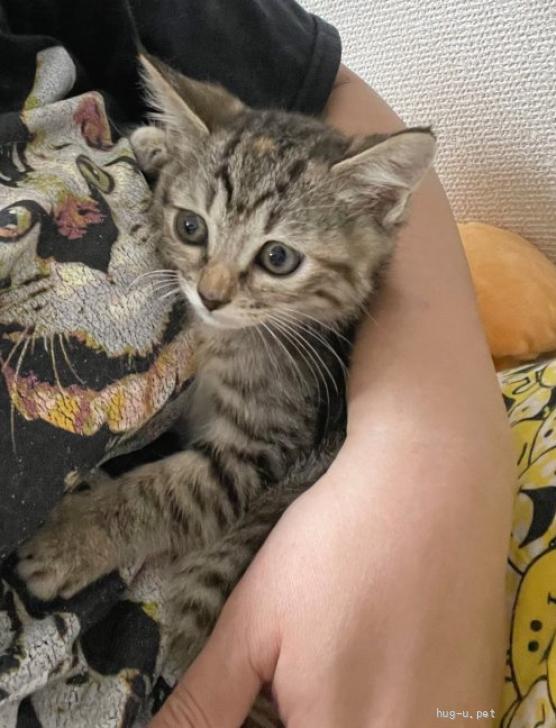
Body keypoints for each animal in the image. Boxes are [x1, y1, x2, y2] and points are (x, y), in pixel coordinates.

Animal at [16, 55, 435, 725]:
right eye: (191, 226)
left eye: (279, 258)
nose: (209, 295)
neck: (233, 339)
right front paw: (156, 143)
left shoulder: (264, 449)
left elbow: (162, 493)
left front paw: (69, 540)